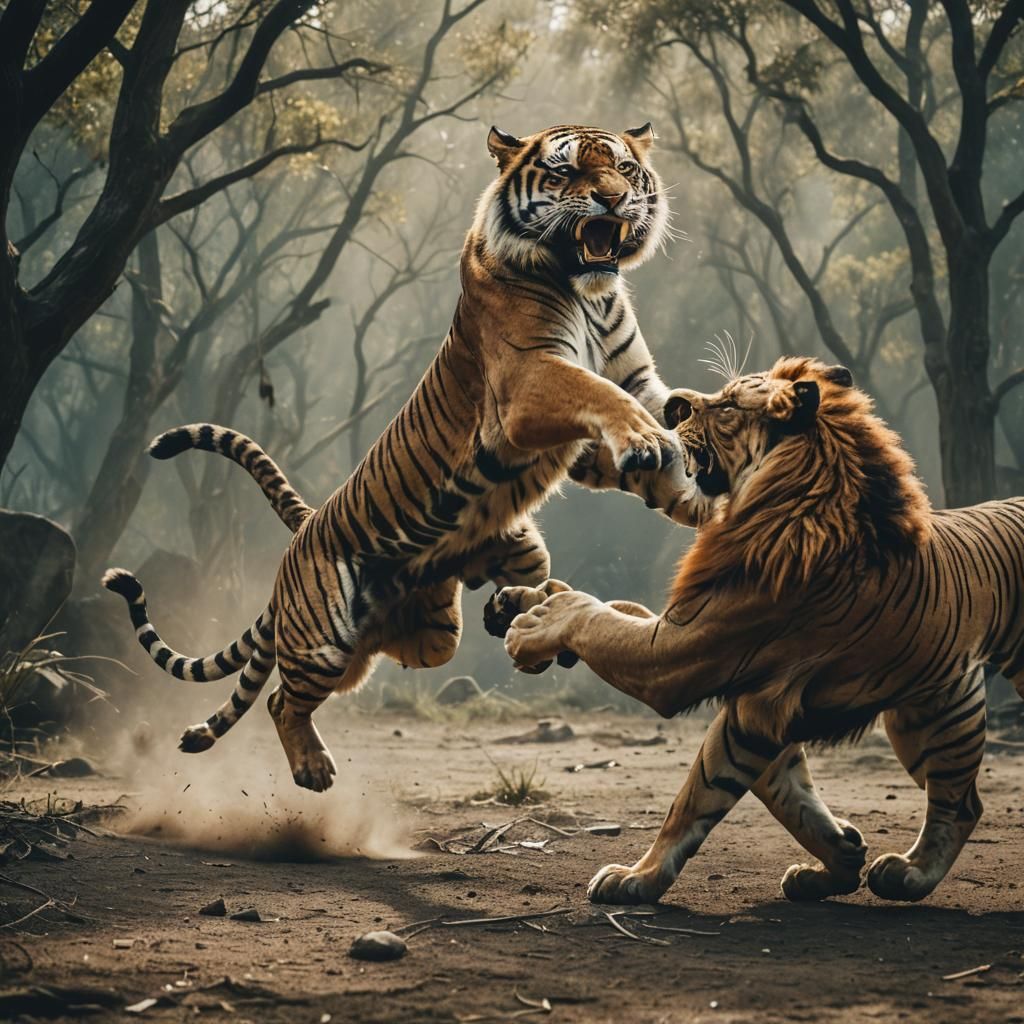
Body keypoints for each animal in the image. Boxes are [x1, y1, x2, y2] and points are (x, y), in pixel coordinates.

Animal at [102, 122, 690, 792]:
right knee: (281, 698)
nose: (613, 200)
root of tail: (306, 528)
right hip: (324, 639)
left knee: (487, 608)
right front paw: (650, 444)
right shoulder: (530, 379)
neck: (589, 292)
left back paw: (520, 613)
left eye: (624, 168)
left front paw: (695, 465)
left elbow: (663, 410)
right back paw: (312, 769)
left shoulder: (634, 382)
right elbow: (601, 394)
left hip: (452, 615)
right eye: (566, 173)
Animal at [498, 355, 1024, 905]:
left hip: (935, 718)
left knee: (961, 804)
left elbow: (691, 794)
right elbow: (781, 791)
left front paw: (636, 878)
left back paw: (909, 873)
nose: (673, 404)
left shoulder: (680, 658)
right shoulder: (741, 688)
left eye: (728, 405)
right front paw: (836, 860)